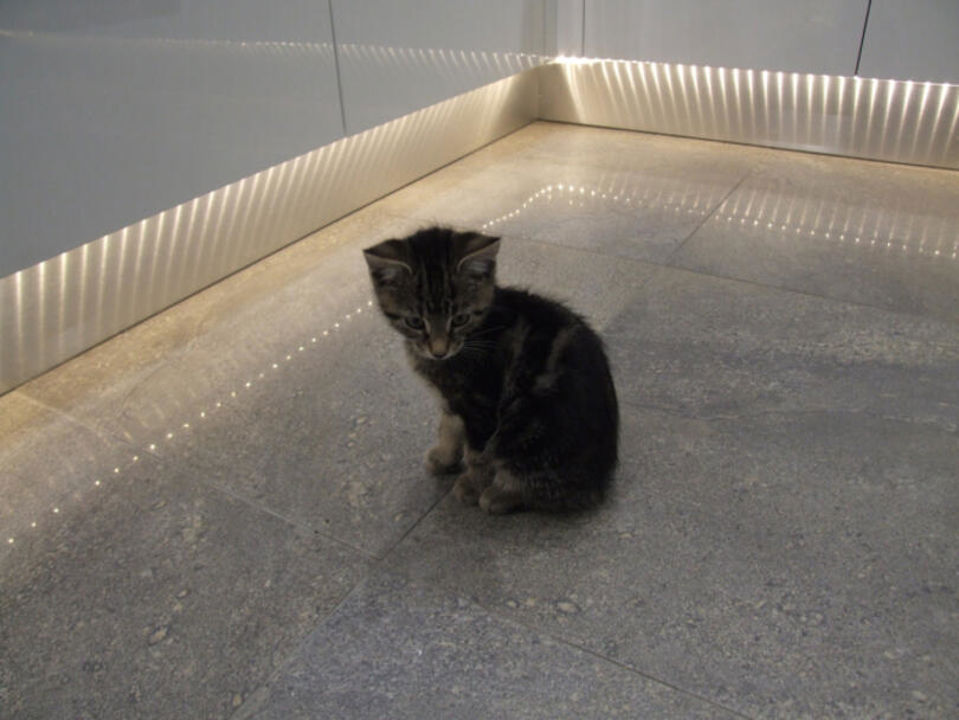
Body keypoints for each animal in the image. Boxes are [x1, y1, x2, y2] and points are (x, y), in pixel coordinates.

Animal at [363, 226, 619, 514]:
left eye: (460, 319)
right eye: (415, 322)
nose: (439, 350)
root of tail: (598, 485)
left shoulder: (481, 404)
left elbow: (478, 454)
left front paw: (471, 485)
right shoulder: (453, 399)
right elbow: (448, 425)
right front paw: (444, 456)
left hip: (526, 430)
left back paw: (499, 495)